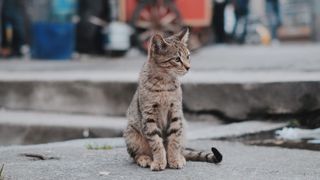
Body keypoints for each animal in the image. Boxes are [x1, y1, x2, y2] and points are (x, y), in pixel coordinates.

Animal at [123, 27, 222, 171]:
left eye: (188, 56)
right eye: (177, 59)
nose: (188, 67)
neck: (164, 83)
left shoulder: (175, 112)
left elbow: (174, 140)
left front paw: (174, 159)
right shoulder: (149, 115)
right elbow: (156, 142)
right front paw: (159, 161)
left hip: (184, 126)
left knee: (181, 147)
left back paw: (180, 156)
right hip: (131, 133)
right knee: (135, 155)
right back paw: (145, 158)